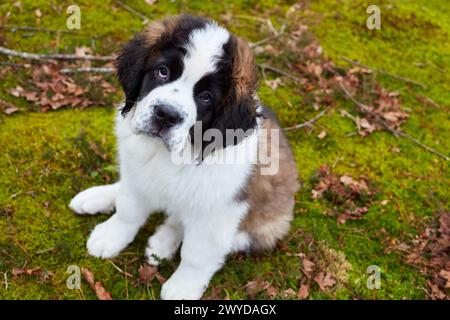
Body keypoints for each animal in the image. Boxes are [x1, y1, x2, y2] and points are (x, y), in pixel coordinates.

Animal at [69, 14, 298, 300]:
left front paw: (183, 285)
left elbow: (196, 253)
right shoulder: (137, 174)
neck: (171, 154)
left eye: (206, 97)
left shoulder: (218, 212)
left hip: (263, 226)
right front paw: (112, 235)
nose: (166, 115)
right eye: (163, 71)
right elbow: (128, 210)